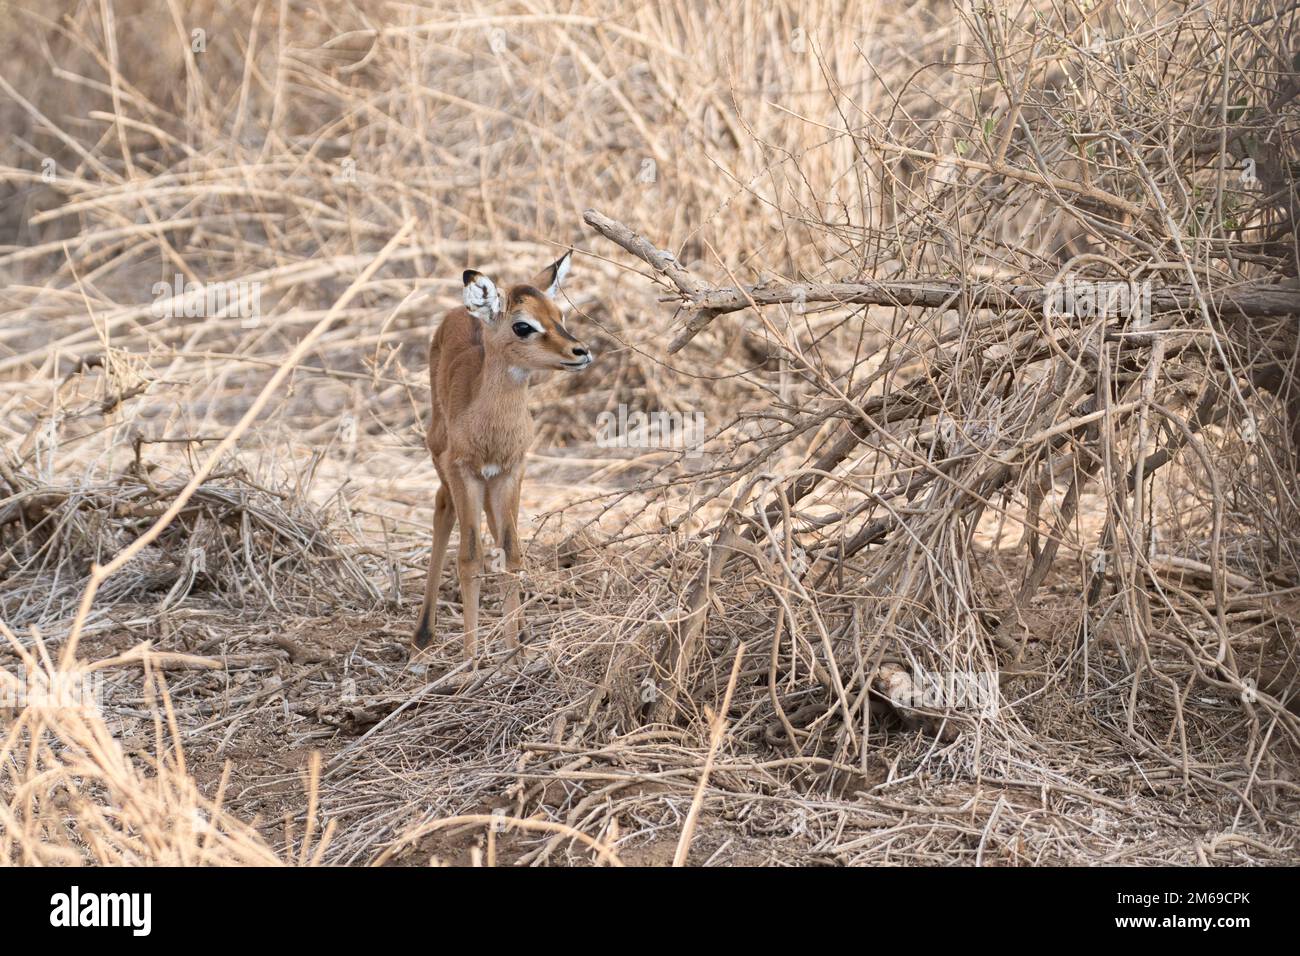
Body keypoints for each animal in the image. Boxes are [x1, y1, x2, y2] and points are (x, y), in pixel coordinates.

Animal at [410, 251, 595, 660]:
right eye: (523, 325)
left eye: (559, 315)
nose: (581, 351)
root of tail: (459, 311)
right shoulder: (464, 472)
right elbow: (469, 557)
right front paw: (471, 659)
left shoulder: (511, 471)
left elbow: (511, 552)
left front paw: (514, 654)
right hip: (443, 462)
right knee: (443, 509)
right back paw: (423, 634)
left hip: (496, 484)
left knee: (496, 530)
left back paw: (521, 631)